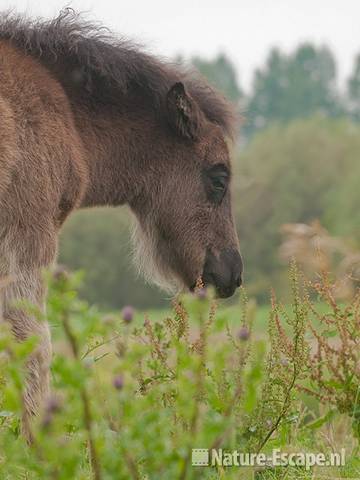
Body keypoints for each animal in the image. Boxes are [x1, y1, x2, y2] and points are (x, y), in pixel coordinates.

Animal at [0, 11, 243, 438]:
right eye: (218, 177)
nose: (231, 272)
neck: (65, 109)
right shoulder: (27, 232)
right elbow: (32, 341)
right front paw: (40, 445)